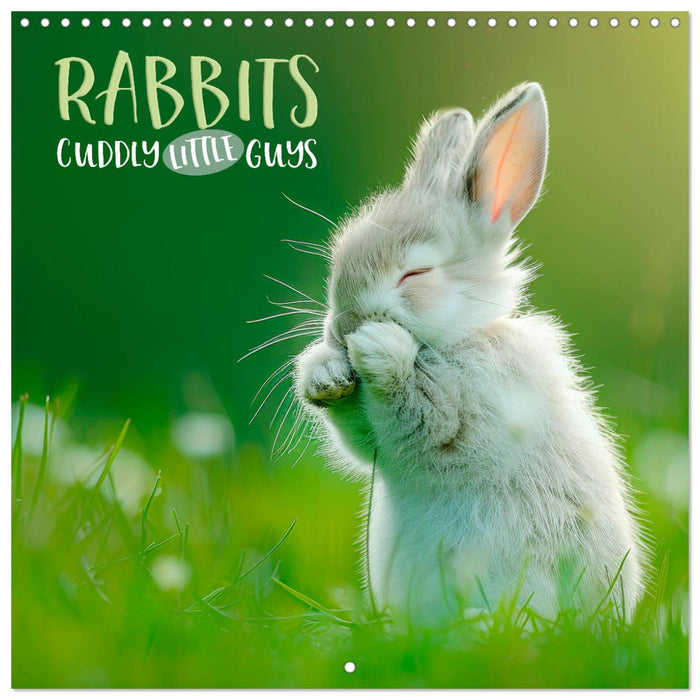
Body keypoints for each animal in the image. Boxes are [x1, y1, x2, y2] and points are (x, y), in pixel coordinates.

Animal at [292, 82, 649, 626]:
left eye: (415, 274)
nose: (343, 327)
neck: (456, 338)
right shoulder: (372, 439)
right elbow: (357, 431)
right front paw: (323, 373)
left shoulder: (469, 406)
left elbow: (424, 419)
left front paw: (378, 348)